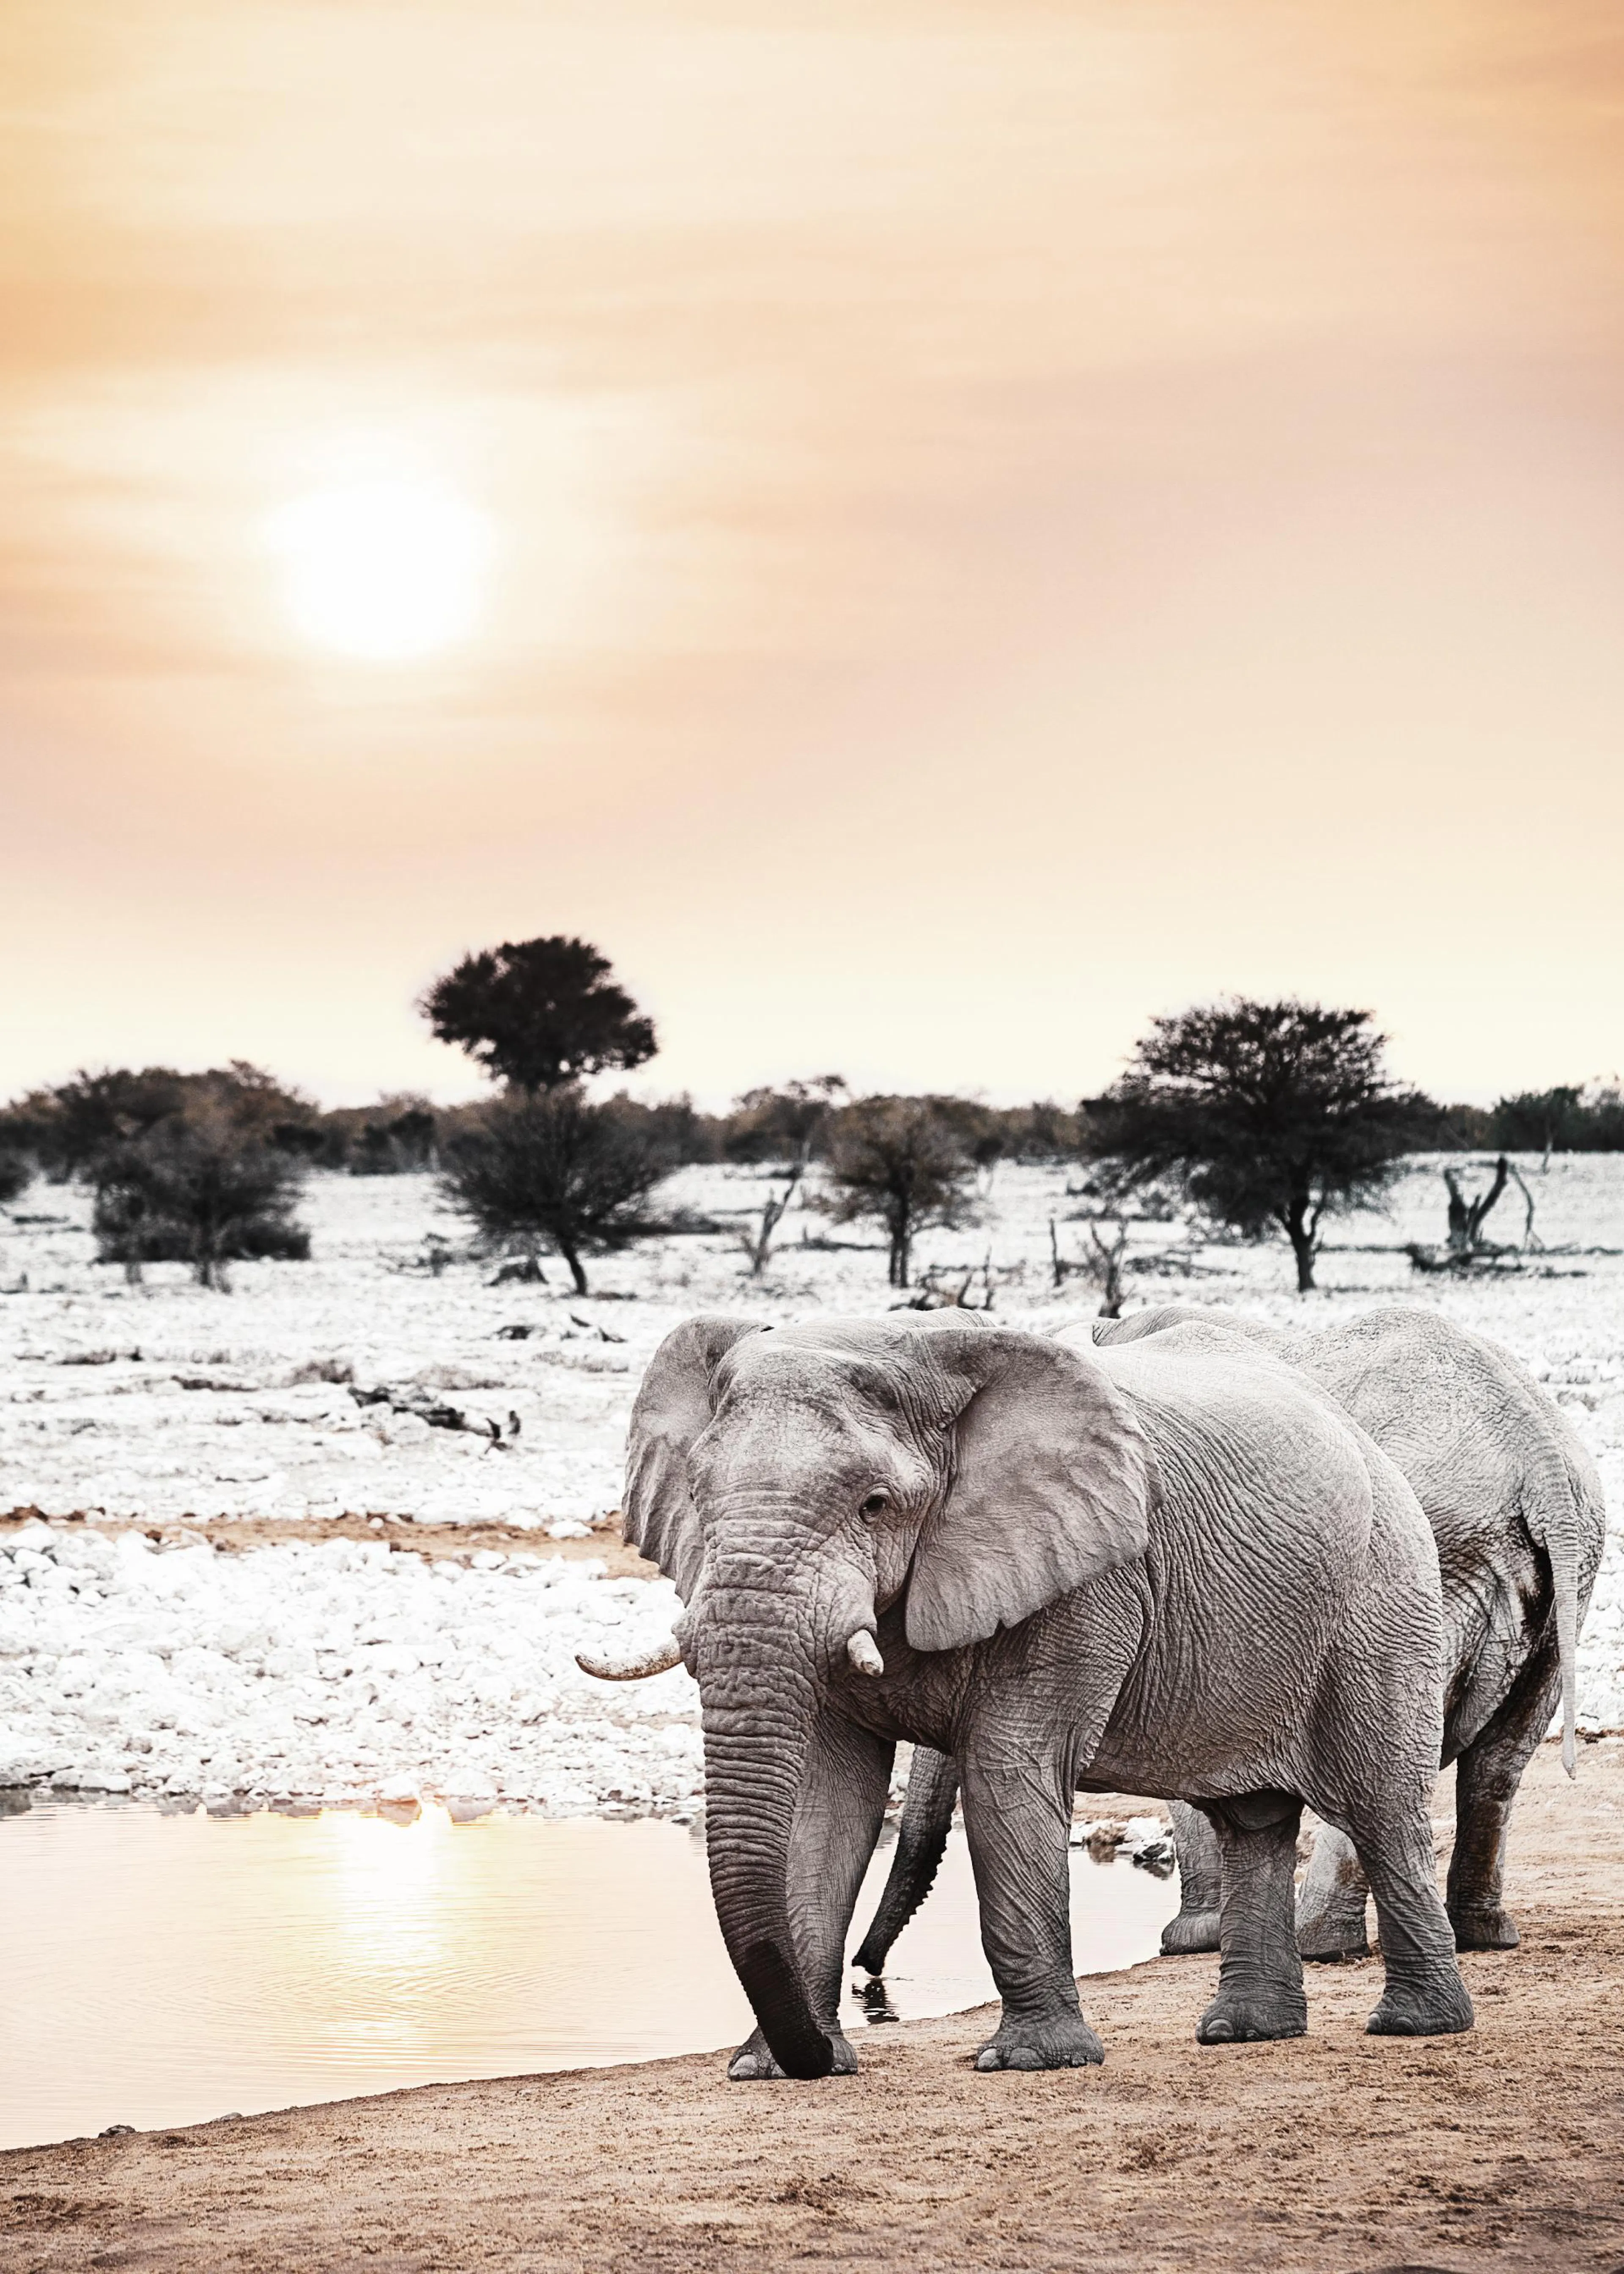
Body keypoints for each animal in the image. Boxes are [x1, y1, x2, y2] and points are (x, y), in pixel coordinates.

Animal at [578, 1312, 1473, 2080]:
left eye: (875, 1504)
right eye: (697, 1494)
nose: (870, 1988)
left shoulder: (1091, 1575)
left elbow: (1009, 1769)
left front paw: (1031, 2061)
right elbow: (826, 1805)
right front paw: (772, 2069)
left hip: (1384, 1598)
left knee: (1381, 1809)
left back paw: (1416, 2025)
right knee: (1251, 1820)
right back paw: (1245, 2032)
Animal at [852, 1305, 1603, 1983]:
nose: (867, 1977)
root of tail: (1539, 1451)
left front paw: (1190, 1941)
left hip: (1421, 1558)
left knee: (1381, 1751)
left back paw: (1320, 1945)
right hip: (1562, 1578)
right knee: (1500, 1761)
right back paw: (1481, 1937)